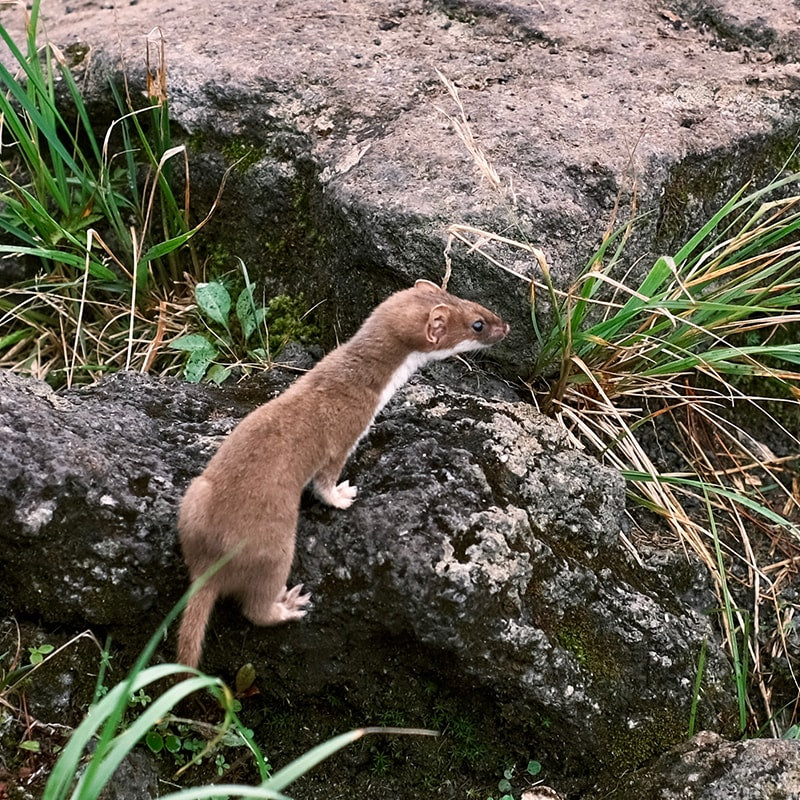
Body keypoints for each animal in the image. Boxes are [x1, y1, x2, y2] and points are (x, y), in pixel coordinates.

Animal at [177, 282, 510, 668]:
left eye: (472, 301)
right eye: (477, 324)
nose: (507, 326)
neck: (352, 375)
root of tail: (208, 559)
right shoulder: (345, 433)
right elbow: (325, 481)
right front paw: (342, 496)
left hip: (195, 496)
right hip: (272, 547)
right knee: (256, 606)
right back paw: (288, 605)